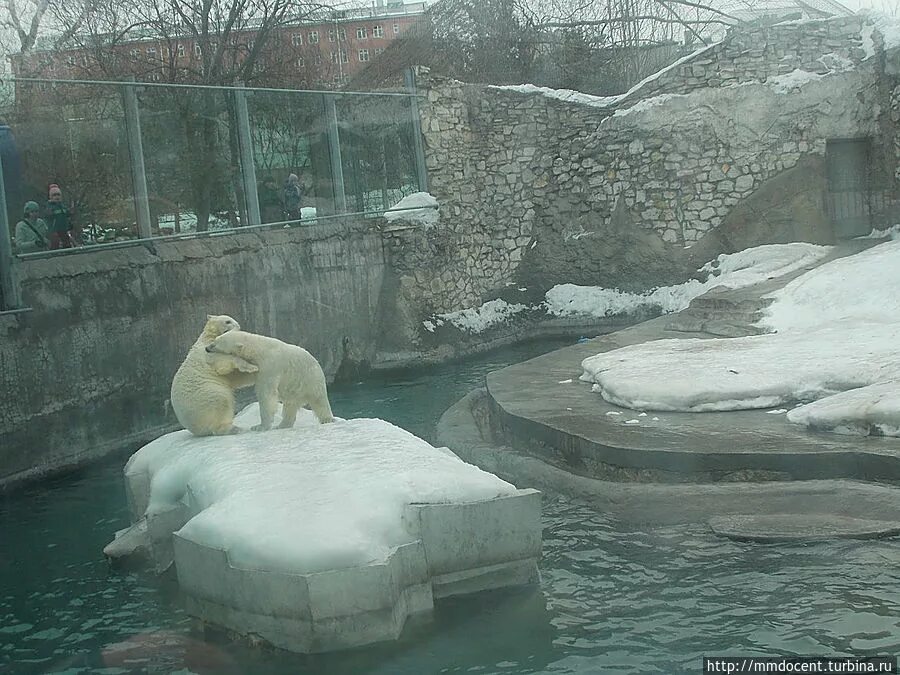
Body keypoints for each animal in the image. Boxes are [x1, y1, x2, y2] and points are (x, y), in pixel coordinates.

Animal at [206, 330, 336, 430]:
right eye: (214, 340)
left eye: (215, 344)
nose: (207, 348)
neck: (258, 349)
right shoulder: (258, 366)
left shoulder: (269, 366)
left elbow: (266, 394)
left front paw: (260, 427)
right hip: (294, 390)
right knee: (290, 406)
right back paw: (282, 425)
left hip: (310, 380)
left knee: (319, 401)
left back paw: (327, 419)